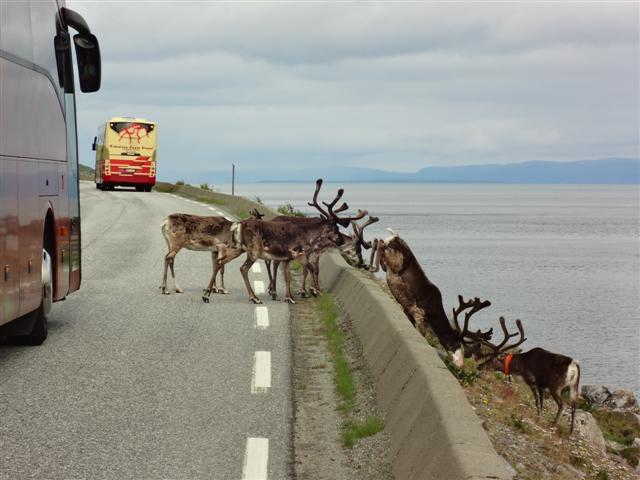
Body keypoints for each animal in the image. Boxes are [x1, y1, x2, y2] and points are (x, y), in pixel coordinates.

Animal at [370, 230, 493, 368]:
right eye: (454, 343)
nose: (460, 364)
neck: (434, 316)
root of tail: (396, 237)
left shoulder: (408, 310)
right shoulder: (419, 314)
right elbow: (423, 335)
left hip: (389, 263)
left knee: (379, 244)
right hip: (396, 261)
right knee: (381, 244)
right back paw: (372, 266)